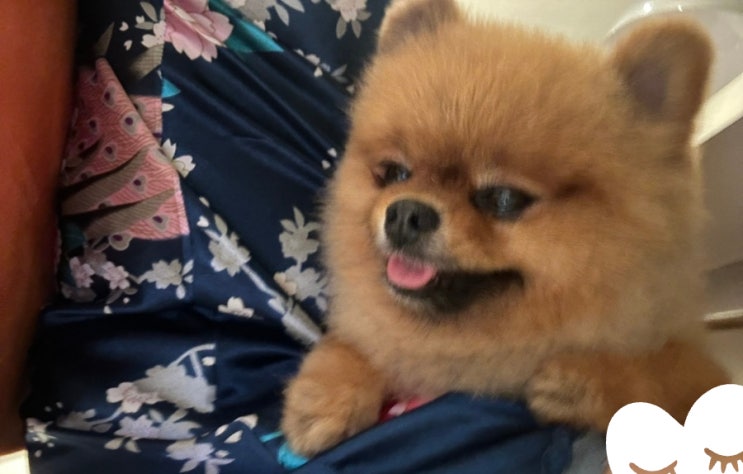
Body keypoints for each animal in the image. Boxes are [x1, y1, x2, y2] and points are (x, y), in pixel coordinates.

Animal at [281, 0, 729, 457]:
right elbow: (354, 341)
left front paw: (588, 380)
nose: (405, 213)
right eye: (394, 174)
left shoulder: (699, 367)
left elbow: (667, 375)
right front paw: (326, 397)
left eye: (503, 198)